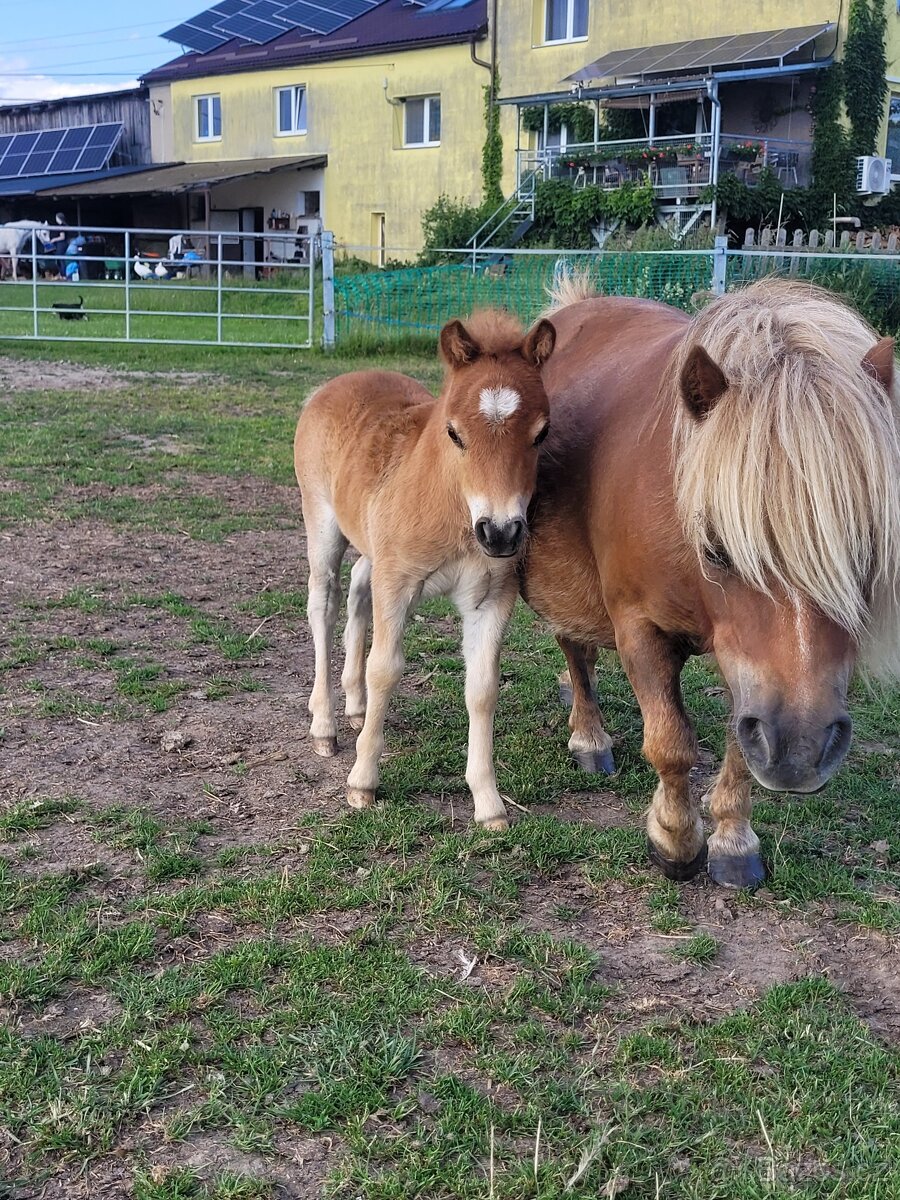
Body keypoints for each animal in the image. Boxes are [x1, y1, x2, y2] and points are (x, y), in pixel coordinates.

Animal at [294, 310, 556, 829]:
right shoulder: (398, 583)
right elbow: (385, 669)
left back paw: (355, 706)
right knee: (324, 604)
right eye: (454, 432)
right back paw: (325, 725)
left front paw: (489, 803)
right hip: (322, 524)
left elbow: (482, 687)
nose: (499, 533)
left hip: (373, 546)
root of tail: (332, 384)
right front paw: (362, 783)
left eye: (541, 433)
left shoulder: (492, 597)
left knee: (358, 590)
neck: (451, 509)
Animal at [521, 277, 900, 888]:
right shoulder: (639, 627)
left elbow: (740, 746)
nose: (801, 750)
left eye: (865, 551)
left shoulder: (750, 669)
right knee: (575, 650)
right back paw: (589, 734)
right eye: (717, 550)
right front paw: (674, 839)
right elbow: (671, 744)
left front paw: (732, 838)